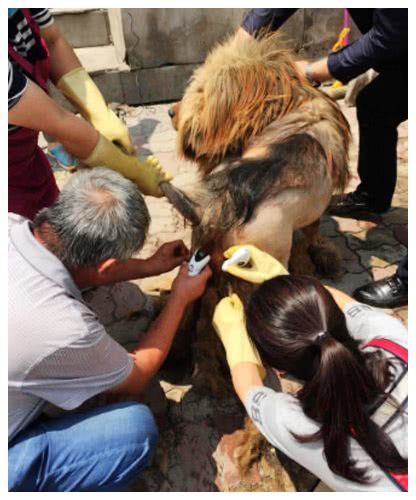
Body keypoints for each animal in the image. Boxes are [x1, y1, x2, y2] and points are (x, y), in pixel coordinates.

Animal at [169, 31, 352, 488]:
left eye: (201, 90)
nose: (171, 111)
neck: (293, 98)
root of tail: (225, 200)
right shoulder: (313, 214)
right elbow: (312, 235)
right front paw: (315, 260)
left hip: (208, 269)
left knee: (204, 323)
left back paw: (208, 377)